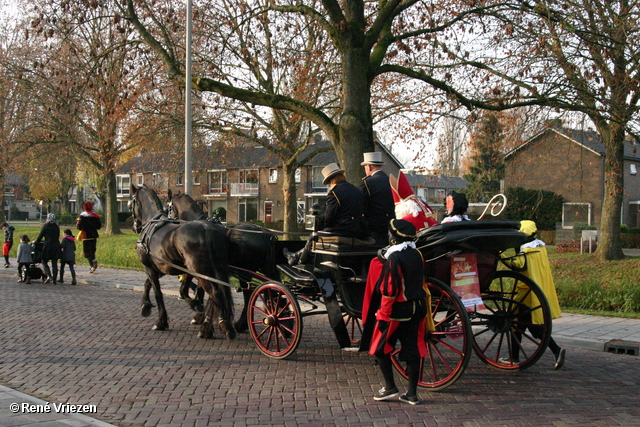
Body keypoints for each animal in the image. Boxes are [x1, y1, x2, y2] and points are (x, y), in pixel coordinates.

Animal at [129, 184, 236, 342]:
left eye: (131, 203)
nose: (135, 227)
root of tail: (207, 229)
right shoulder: (166, 267)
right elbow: (151, 284)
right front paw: (145, 306)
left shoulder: (150, 267)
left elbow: (158, 292)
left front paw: (160, 321)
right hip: (211, 270)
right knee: (219, 294)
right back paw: (220, 326)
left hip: (200, 270)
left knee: (216, 294)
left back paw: (218, 327)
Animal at [166, 191, 276, 334]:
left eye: (168, 207)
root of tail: (264, 233)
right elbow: (204, 291)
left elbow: (203, 291)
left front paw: (200, 317)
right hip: (265, 269)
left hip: (246, 272)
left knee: (248, 295)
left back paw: (241, 324)